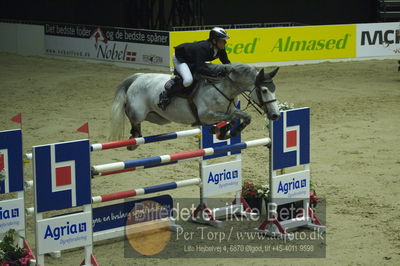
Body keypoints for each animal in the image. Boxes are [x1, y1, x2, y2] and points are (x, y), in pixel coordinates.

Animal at [109, 63, 282, 149]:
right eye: (264, 90)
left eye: (274, 89)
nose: (275, 115)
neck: (225, 88)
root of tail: (137, 77)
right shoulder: (206, 115)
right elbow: (232, 118)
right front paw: (224, 131)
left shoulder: (231, 110)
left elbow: (244, 116)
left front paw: (225, 132)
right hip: (138, 112)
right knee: (133, 119)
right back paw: (133, 140)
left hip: (158, 118)